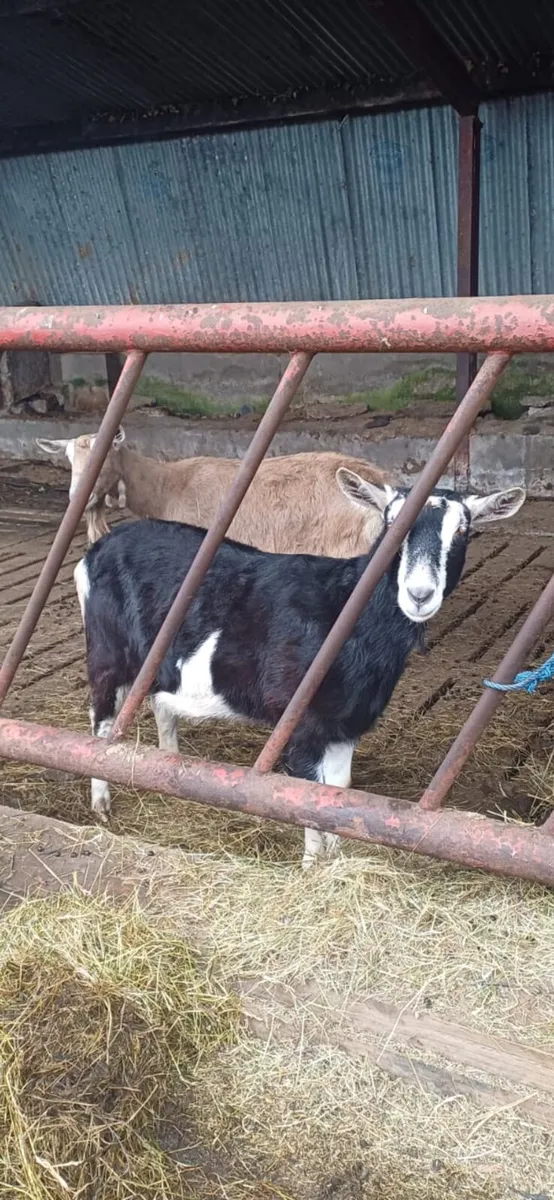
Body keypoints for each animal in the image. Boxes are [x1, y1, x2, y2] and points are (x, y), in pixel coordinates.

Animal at [74, 471, 525, 867]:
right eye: (390, 522)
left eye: (463, 530)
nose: (419, 594)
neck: (345, 609)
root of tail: (96, 551)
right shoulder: (299, 720)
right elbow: (306, 794)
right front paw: (311, 865)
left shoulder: (345, 724)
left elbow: (338, 793)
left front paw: (337, 859)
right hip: (106, 652)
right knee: (101, 720)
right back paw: (101, 804)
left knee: (161, 706)